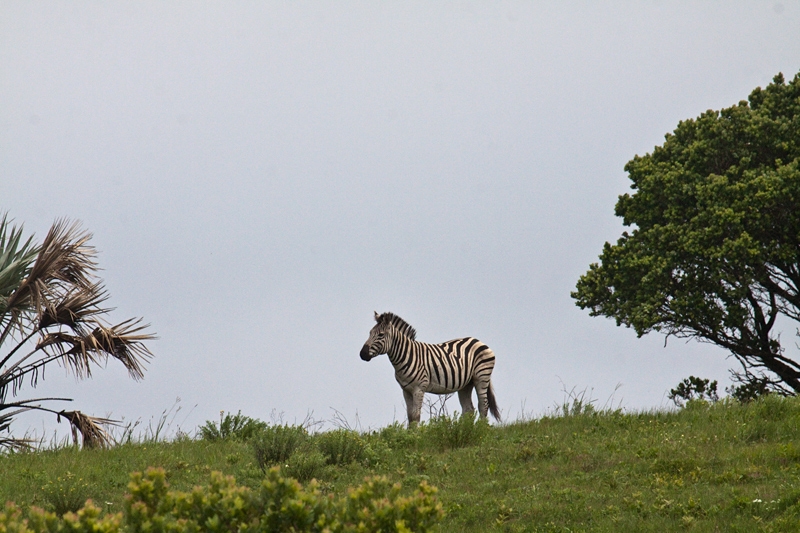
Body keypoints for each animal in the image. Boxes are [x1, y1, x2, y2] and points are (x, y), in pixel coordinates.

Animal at [360, 312, 500, 424]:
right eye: (370, 333)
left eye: (381, 335)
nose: (362, 354)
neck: (406, 355)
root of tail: (478, 340)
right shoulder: (406, 390)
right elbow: (410, 416)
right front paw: (409, 436)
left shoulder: (419, 388)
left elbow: (415, 416)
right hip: (466, 383)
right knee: (469, 409)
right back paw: (465, 431)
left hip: (481, 377)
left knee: (483, 406)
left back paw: (480, 430)